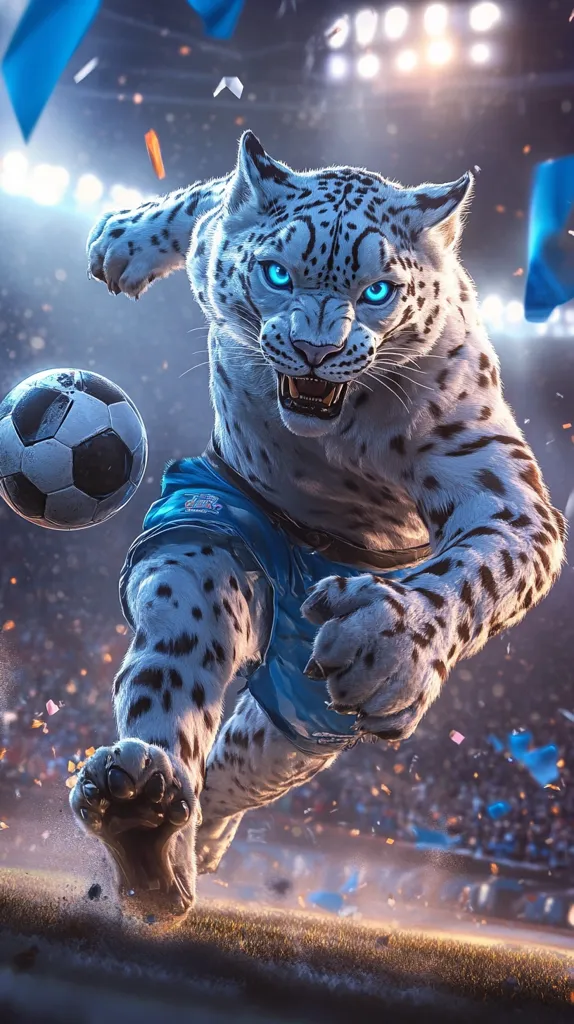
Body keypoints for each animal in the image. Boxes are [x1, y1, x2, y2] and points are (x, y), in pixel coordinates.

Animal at [70, 131, 566, 920]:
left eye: (377, 291)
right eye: (277, 273)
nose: (315, 350)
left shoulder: (495, 483)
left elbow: (482, 570)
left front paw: (392, 644)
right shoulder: (216, 240)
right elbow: (205, 199)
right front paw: (124, 241)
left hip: (304, 712)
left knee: (245, 760)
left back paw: (188, 837)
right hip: (208, 544)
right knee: (182, 665)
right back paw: (143, 812)